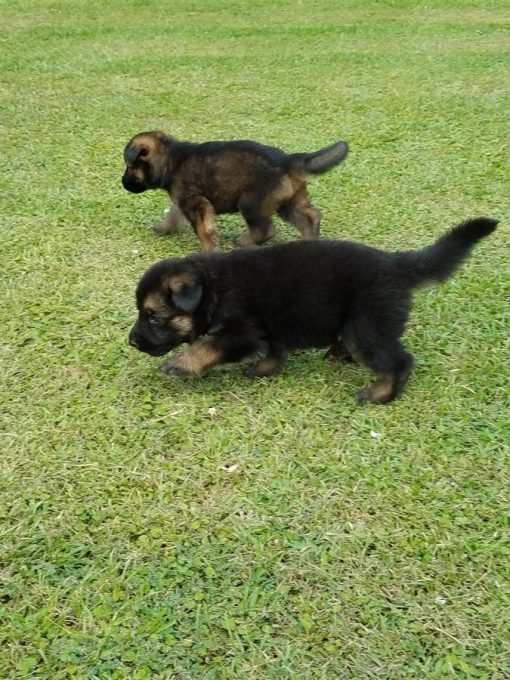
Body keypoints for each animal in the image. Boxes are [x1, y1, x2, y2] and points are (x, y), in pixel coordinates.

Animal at [121, 131, 348, 252]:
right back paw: (309, 240)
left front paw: (209, 249)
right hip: (289, 201)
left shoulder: (196, 203)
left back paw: (244, 242)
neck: (170, 158)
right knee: (310, 216)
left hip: (250, 202)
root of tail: (286, 161)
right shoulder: (183, 201)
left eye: (129, 167)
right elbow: (174, 215)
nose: (122, 183)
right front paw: (163, 228)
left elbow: (204, 229)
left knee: (266, 229)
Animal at [128, 216, 498, 404]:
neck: (213, 288)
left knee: (399, 361)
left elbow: (207, 346)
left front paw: (180, 365)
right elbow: (273, 351)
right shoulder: (269, 328)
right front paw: (264, 369)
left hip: (365, 326)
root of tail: (396, 264)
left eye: (154, 317)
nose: (132, 342)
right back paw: (339, 353)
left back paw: (380, 394)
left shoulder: (240, 332)